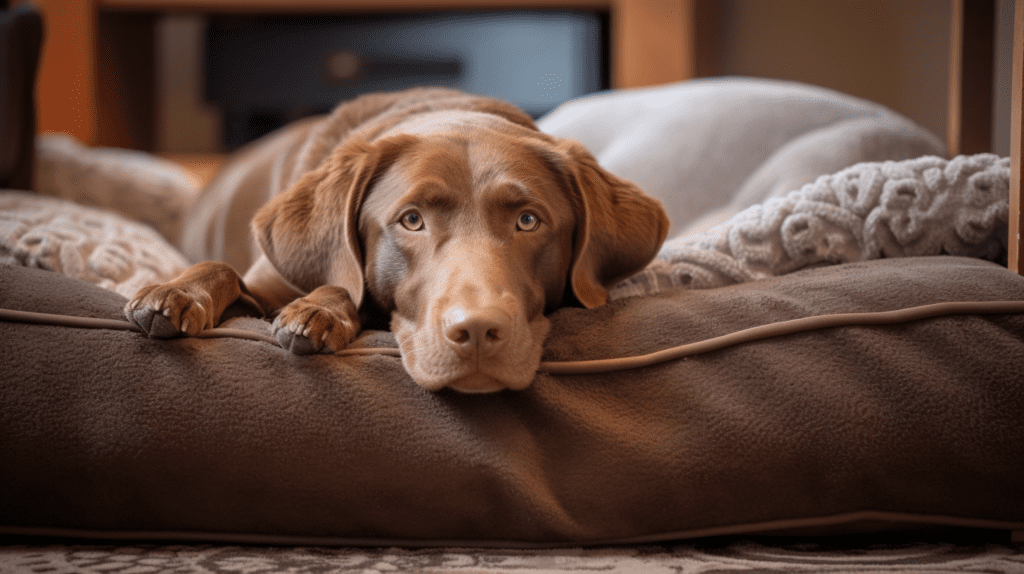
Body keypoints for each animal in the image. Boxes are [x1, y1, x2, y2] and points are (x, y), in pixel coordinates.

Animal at [125, 88, 671, 392]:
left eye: (528, 221)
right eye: (411, 220)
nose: (477, 331)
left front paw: (319, 309)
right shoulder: (268, 279)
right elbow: (224, 270)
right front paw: (173, 293)